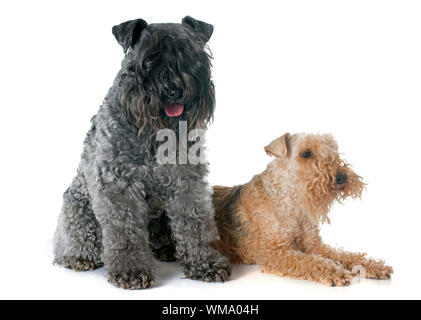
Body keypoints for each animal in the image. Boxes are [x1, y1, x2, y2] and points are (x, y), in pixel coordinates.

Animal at [53, 16, 231, 288]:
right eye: (147, 60)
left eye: (190, 54)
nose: (173, 88)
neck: (154, 134)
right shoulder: (118, 185)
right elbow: (125, 232)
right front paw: (131, 271)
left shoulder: (187, 181)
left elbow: (195, 222)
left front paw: (206, 263)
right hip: (77, 210)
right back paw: (78, 256)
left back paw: (167, 249)